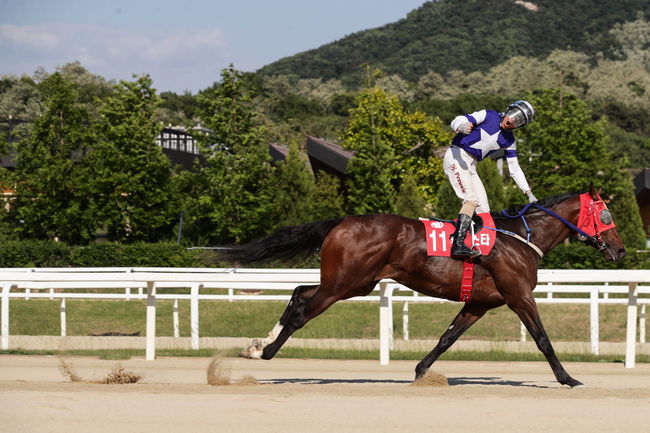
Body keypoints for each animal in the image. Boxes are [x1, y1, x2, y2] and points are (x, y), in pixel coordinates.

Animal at [219, 184, 624, 386]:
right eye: (607, 214)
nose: (620, 250)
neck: (520, 238)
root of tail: (342, 221)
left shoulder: (480, 303)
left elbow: (447, 338)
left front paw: (419, 371)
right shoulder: (518, 295)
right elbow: (542, 339)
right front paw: (568, 378)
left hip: (351, 282)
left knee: (299, 293)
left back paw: (258, 344)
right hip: (344, 283)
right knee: (304, 307)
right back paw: (264, 352)